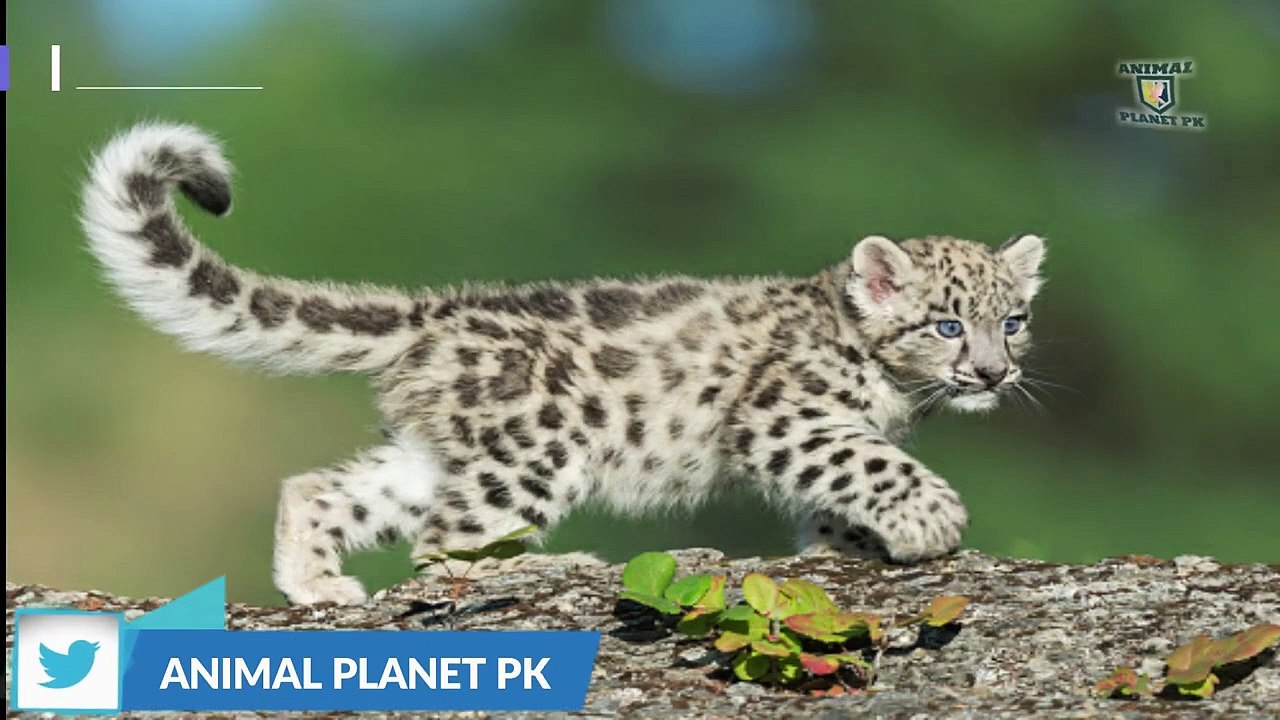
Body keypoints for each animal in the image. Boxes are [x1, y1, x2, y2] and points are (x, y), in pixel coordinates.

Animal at [81, 122, 1047, 605]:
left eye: (1014, 321)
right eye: (947, 325)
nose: (994, 374)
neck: (896, 392)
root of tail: (434, 313)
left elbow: (842, 490)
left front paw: (848, 546)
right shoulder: (789, 415)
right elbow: (867, 461)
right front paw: (931, 520)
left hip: (441, 453)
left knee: (325, 490)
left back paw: (319, 587)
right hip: (535, 449)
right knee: (446, 549)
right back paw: (555, 569)